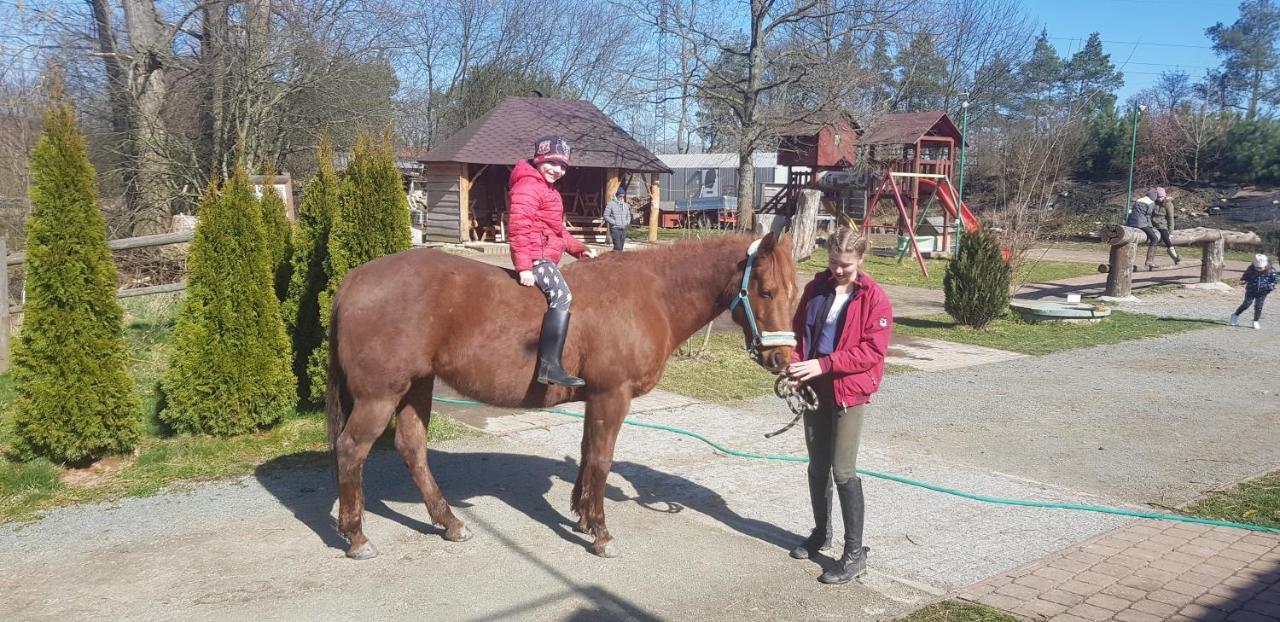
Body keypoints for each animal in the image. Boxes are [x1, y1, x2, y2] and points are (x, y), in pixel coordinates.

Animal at [325, 231, 793, 558]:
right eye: (766, 291)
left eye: (792, 292)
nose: (782, 358)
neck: (650, 293)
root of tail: (355, 279)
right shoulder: (612, 396)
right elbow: (601, 461)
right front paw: (601, 533)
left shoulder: (597, 399)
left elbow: (588, 455)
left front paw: (583, 518)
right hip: (380, 395)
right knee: (351, 449)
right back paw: (357, 537)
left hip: (414, 388)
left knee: (412, 448)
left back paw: (449, 522)